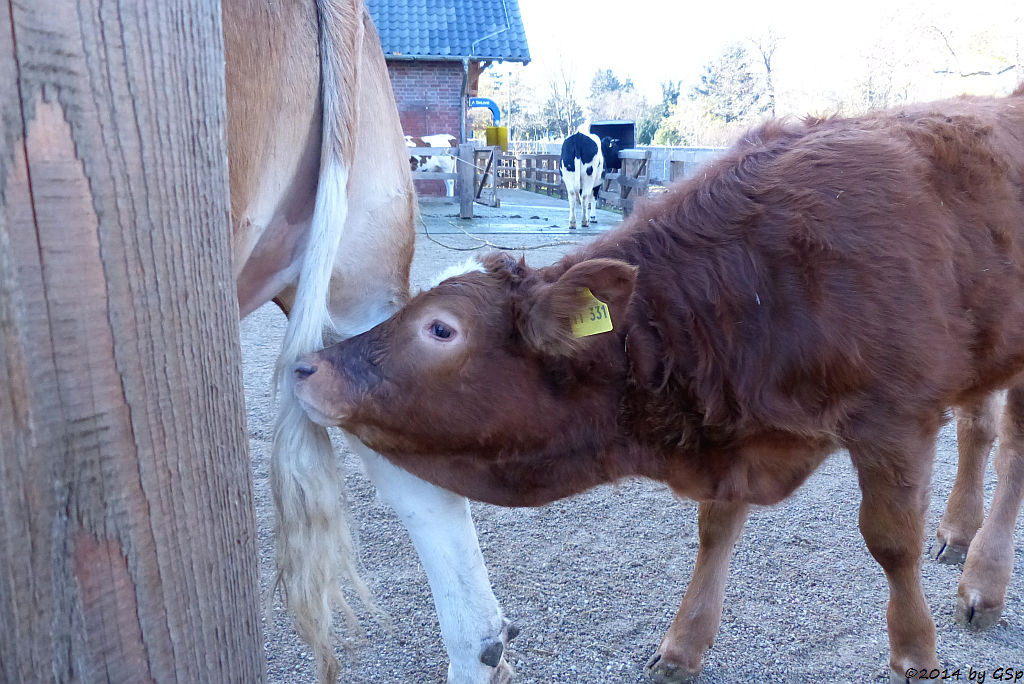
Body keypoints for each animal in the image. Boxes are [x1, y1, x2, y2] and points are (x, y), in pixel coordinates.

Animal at [290, 88, 1024, 679]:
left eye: (441, 329)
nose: (307, 365)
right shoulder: (733, 431)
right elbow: (715, 528)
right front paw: (684, 644)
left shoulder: (894, 420)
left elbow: (891, 543)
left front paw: (915, 652)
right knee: (979, 430)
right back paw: (958, 534)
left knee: (1010, 453)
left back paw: (983, 584)